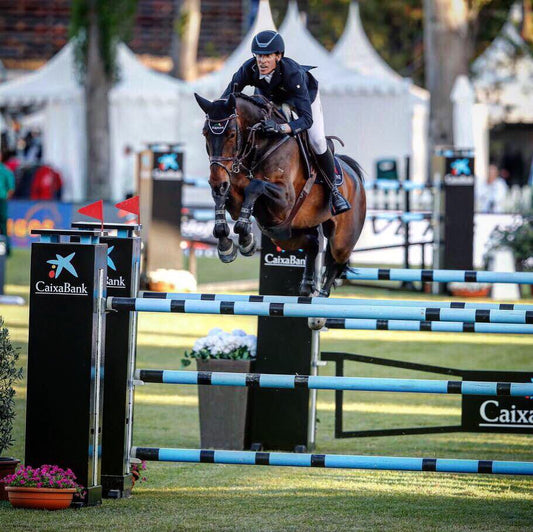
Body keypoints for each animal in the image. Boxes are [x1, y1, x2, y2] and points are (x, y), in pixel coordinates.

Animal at [194, 93, 366, 298]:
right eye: (205, 133)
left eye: (232, 134)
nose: (217, 181)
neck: (259, 147)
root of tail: (355, 175)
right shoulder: (235, 197)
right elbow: (223, 199)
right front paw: (228, 246)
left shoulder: (284, 200)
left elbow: (255, 186)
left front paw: (245, 238)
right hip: (283, 234)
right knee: (313, 244)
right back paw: (306, 286)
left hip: (341, 239)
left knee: (336, 262)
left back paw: (321, 296)